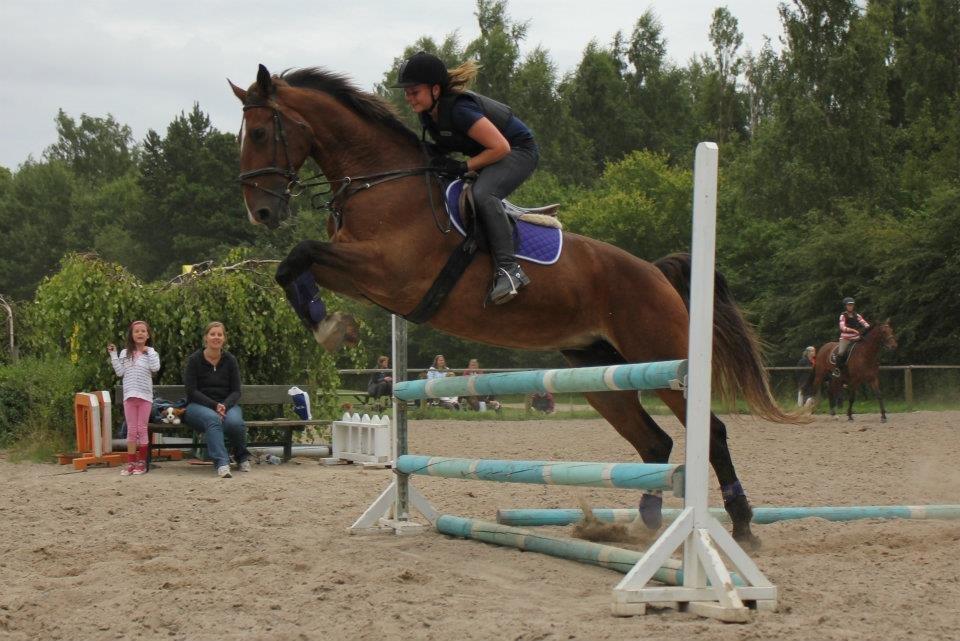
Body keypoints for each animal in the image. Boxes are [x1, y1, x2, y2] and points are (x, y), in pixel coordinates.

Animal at [229, 63, 800, 544]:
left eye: (259, 134)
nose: (260, 212)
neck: (382, 181)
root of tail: (655, 272)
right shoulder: (364, 275)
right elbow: (292, 265)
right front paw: (329, 324)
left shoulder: (388, 272)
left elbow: (298, 254)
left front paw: (329, 328)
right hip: (597, 367)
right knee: (655, 443)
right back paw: (643, 525)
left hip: (659, 357)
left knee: (712, 433)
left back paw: (740, 524)